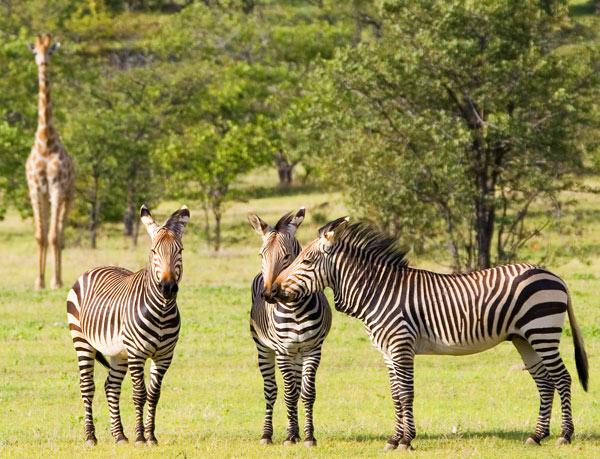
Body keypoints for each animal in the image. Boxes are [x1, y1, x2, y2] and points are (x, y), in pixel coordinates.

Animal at [66, 207, 189, 448]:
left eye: (179, 251)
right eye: (153, 251)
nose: (168, 287)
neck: (162, 312)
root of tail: (93, 269)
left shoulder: (164, 356)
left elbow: (154, 395)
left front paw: (151, 436)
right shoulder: (137, 353)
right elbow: (139, 394)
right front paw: (140, 437)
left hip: (118, 352)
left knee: (111, 387)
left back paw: (120, 436)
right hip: (82, 341)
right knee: (87, 386)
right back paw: (91, 437)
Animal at [248, 210, 332, 448]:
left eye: (287, 257)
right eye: (262, 255)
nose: (269, 294)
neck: (295, 308)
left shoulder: (313, 349)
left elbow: (306, 393)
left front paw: (308, 436)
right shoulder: (282, 351)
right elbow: (288, 393)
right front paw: (291, 436)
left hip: (298, 354)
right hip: (264, 348)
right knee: (271, 390)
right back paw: (267, 434)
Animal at [270, 218, 588, 450]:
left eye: (306, 262)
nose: (270, 292)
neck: (377, 292)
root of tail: (555, 276)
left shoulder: (401, 346)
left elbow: (406, 393)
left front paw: (406, 440)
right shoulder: (388, 351)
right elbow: (396, 394)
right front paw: (394, 439)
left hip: (542, 331)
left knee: (562, 378)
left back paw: (565, 435)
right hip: (524, 339)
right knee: (545, 382)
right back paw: (537, 436)